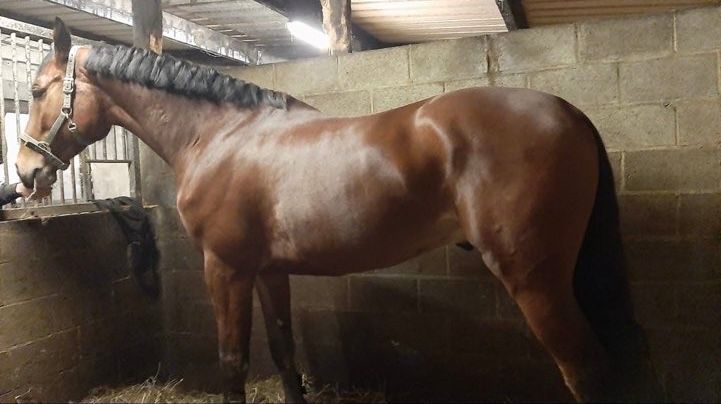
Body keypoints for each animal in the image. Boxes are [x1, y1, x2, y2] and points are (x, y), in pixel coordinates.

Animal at [16, 18, 661, 403]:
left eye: (39, 91)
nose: (25, 173)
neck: (222, 133)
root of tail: (568, 111)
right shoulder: (268, 271)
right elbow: (283, 353)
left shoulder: (225, 267)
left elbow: (232, 360)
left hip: (535, 280)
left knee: (584, 372)